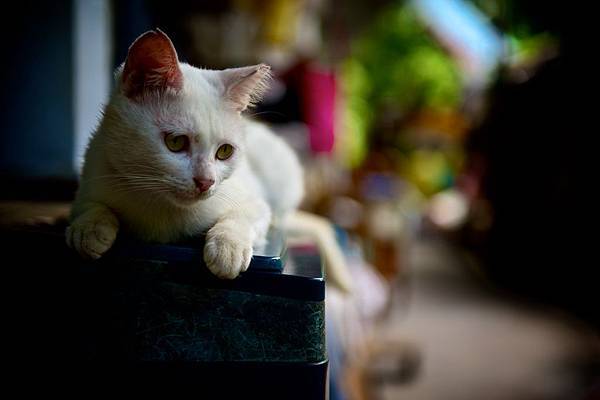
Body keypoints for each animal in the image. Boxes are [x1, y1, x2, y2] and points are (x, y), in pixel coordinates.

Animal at [65, 29, 304, 280]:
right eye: (176, 142)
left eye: (225, 151)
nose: (206, 182)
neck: (162, 211)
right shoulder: (91, 180)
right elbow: (90, 206)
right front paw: (90, 229)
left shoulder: (255, 202)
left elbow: (242, 216)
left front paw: (228, 248)